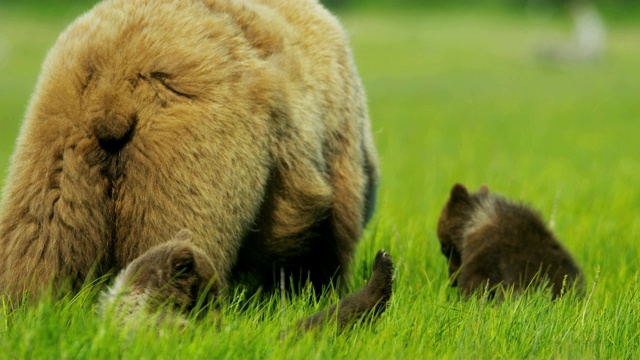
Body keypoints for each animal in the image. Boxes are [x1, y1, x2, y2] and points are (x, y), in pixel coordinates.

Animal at [0, 0, 390, 326]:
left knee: (36, 239)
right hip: (195, 152)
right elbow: (329, 239)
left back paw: (25, 312)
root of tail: (114, 87)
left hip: (56, 146)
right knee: (176, 236)